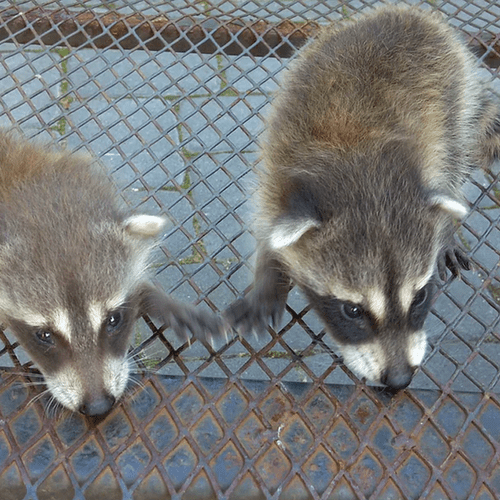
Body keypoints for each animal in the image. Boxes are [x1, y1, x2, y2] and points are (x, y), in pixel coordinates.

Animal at [225, 6, 500, 390]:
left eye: (419, 296)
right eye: (352, 310)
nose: (399, 379)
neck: (362, 175)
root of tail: (407, 13)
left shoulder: (427, 158)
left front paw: (445, 229)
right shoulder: (276, 175)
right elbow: (266, 226)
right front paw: (267, 279)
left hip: (455, 96)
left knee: (456, 154)